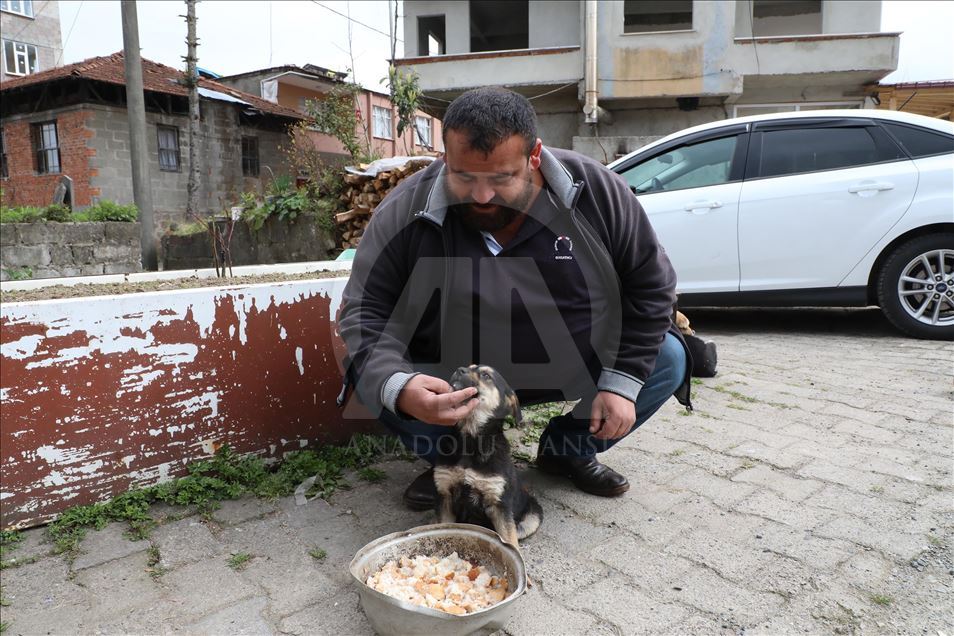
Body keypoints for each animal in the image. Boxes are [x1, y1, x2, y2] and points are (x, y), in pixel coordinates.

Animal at [434, 366, 540, 548]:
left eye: (486, 375)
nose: (459, 369)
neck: (470, 440)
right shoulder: (445, 495)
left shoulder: (499, 505)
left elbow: (510, 542)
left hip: (533, 516)